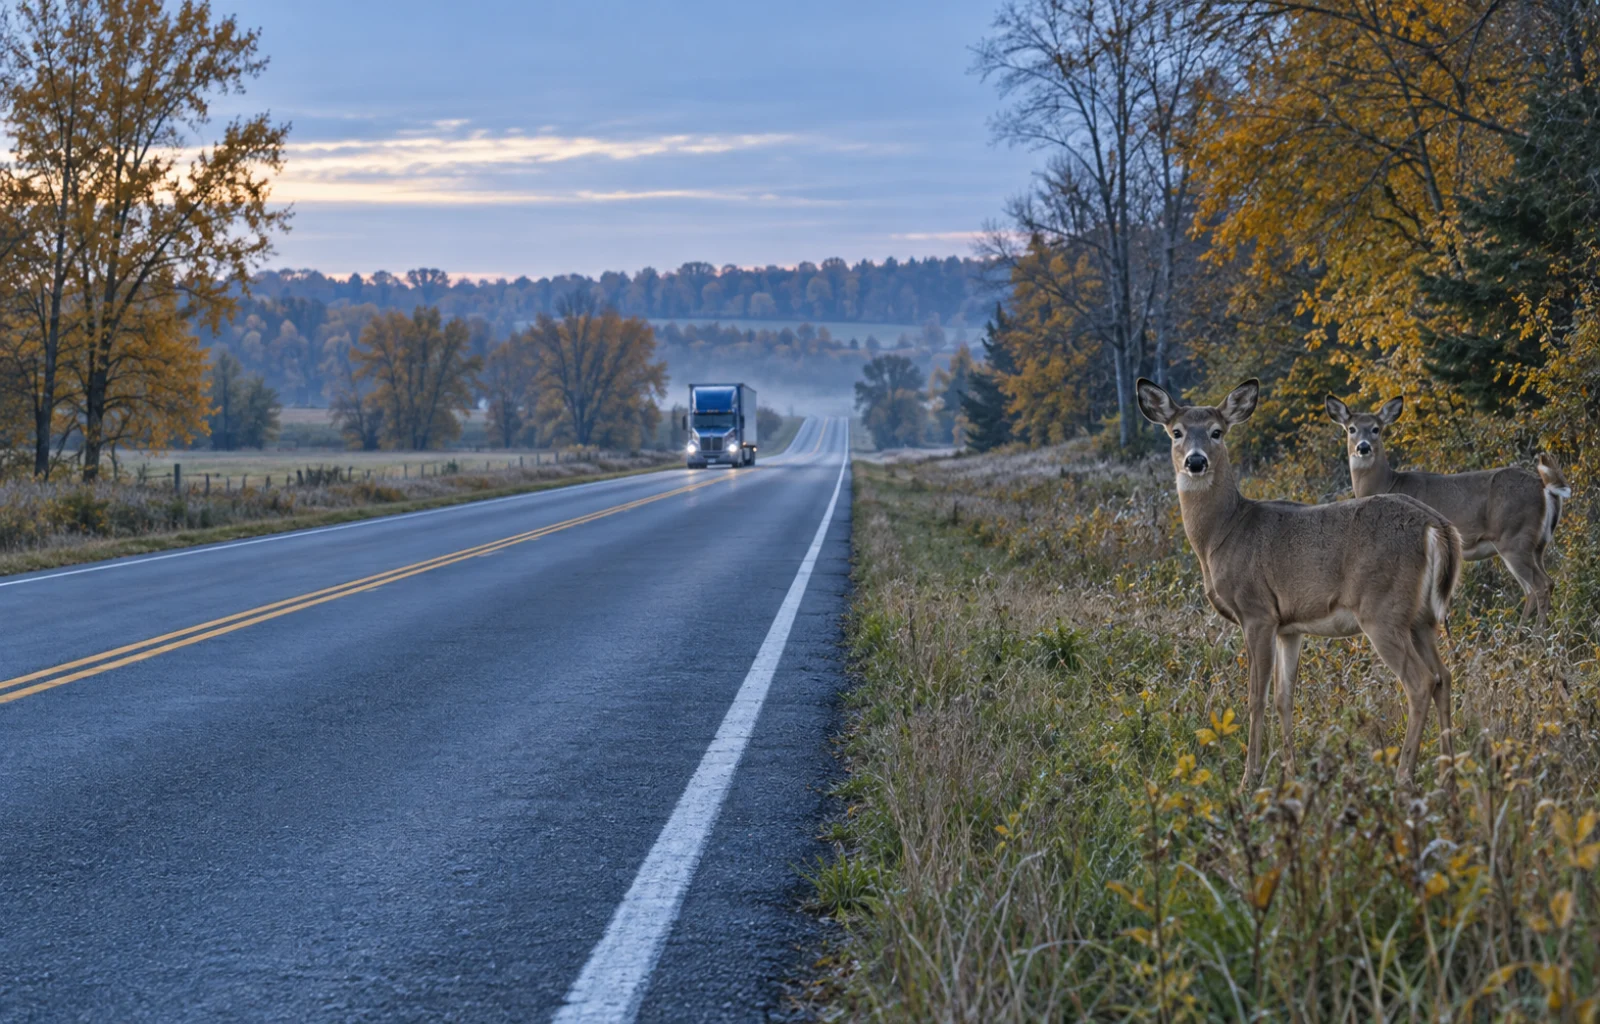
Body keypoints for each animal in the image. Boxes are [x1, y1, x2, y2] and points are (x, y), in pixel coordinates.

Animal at [1137, 378, 1462, 788]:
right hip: (1421, 618)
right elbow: (1284, 697)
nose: (1196, 461)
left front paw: (1250, 778)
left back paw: (1404, 774)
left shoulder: (1256, 611)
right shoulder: (1288, 626)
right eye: (1176, 432)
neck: (1222, 534)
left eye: (1216, 432)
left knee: (1420, 682)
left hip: (1381, 609)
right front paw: (1290, 772)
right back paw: (1447, 773)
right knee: (1443, 677)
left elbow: (1255, 697)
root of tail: (1438, 527)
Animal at [1325, 395, 1569, 625]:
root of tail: (1545, 487)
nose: (1363, 447)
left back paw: (1533, 636)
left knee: (1540, 585)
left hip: (1514, 538)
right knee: (1538, 587)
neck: (1387, 484)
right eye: (1351, 428)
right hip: (1537, 545)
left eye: (1376, 428)